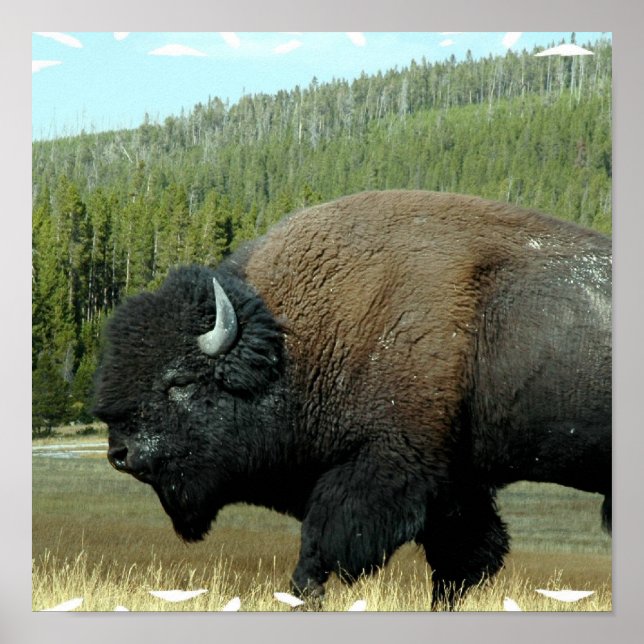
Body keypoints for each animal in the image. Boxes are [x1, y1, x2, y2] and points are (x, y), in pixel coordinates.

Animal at [93, 190, 611, 609]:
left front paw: (306, 594)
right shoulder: (453, 485)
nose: (120, 452)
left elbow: (324, 547)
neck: (293, 345)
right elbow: (463, 560)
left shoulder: (385, 468)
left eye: (178, 381)